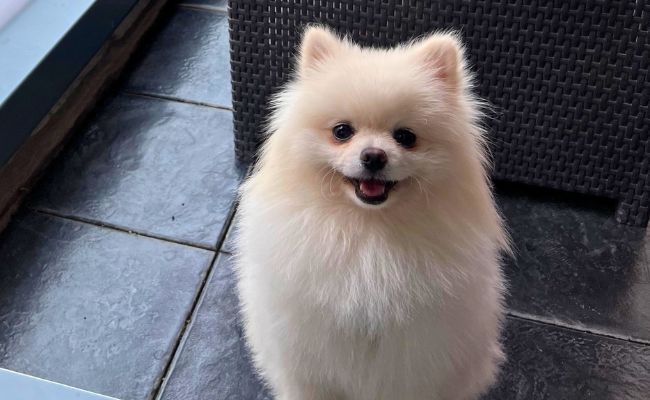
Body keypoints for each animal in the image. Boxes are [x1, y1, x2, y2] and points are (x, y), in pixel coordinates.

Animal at [235, 25, 508, 400]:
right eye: (342, 131)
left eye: (406, 136)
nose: (374, 156)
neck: (368, 230)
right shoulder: (311, 356)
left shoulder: (416, 361)